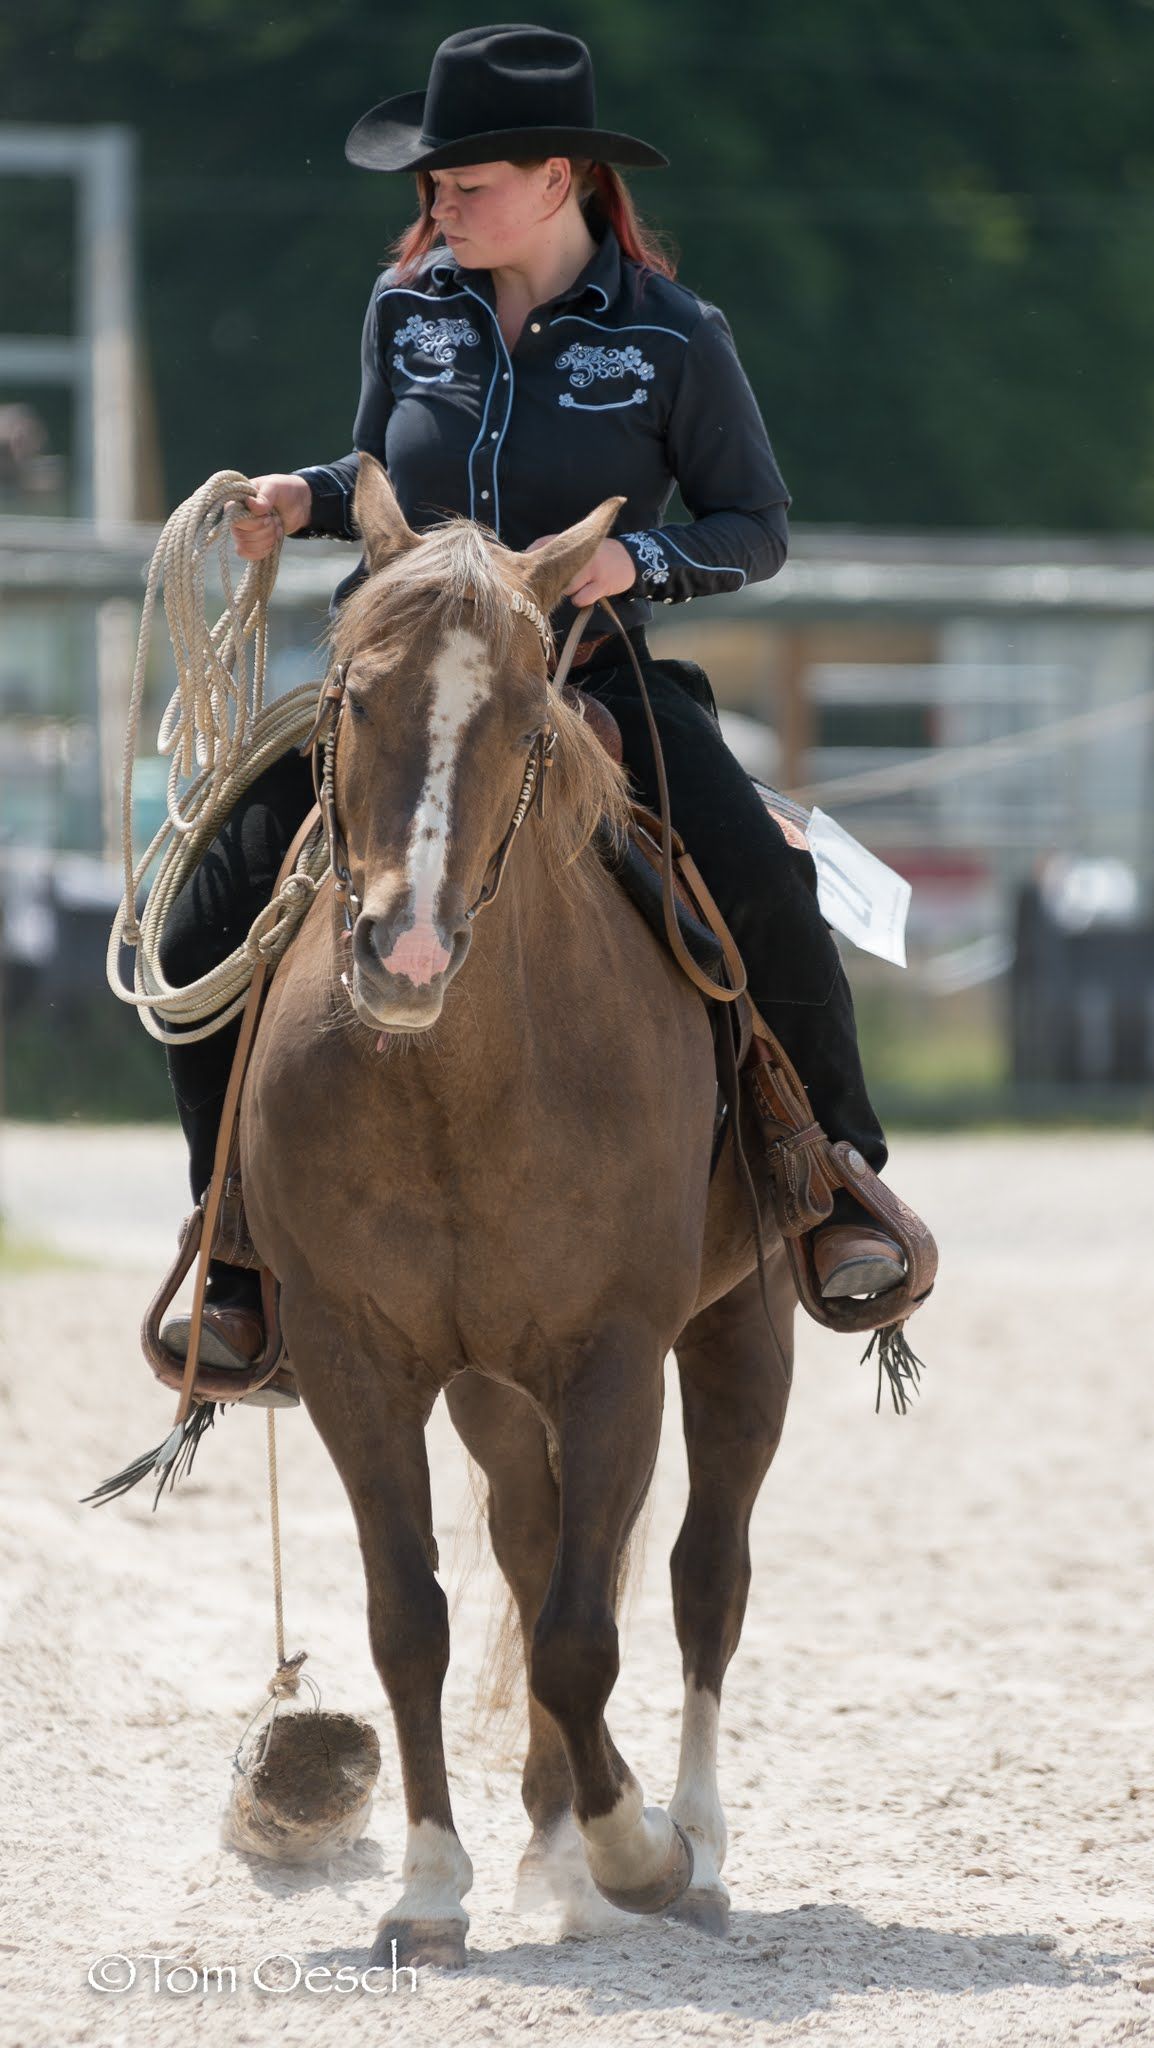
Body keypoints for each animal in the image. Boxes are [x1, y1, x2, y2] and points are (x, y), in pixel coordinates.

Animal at [242, 453, 795, 1968]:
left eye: (520, 714)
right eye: (352, 696)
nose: (409, 950)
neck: (460, 1081)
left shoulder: (615, 1356)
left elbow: (579, 1634)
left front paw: (639, 1851)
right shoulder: (354, 1361)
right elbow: (411, 1618)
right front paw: (433, 1886)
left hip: (742, 1330)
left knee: (702, 1573)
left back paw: (693, 1846)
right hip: (492, 1382)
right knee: (534, 1538)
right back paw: (553, 1849)